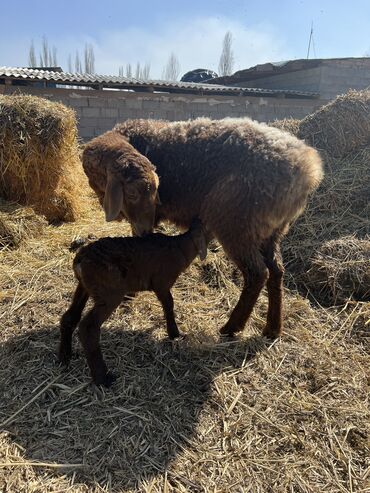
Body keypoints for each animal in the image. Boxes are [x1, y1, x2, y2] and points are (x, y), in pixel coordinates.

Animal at [59, 218, 207, 384]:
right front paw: (174, 334)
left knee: (70, 317)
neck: (181, 249)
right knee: (88, 327)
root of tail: (80, 259)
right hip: (109, 292)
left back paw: (64, 357)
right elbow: (169, 305)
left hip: (85, 286)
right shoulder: (161, 283)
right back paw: (103, 378)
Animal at [81, 118, 324, 342]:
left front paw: (129, 293)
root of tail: (305, 169)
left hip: (236, 221)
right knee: (277, 270)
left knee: (257, 273)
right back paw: (272, 329)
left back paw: (231, 327)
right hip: (271, 230)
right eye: (132, 193)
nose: (147, 231)